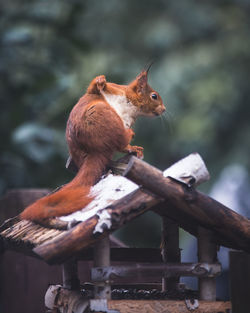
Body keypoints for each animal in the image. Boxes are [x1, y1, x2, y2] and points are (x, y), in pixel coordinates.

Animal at [20, 69, 166, 221]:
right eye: (154, 96)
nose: (164, 109)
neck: (131, 106)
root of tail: (94, 150)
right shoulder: (114, 88)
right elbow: (93, 88)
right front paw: (100, 80)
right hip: (101, 114)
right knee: (120, 142)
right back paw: (131, 139)